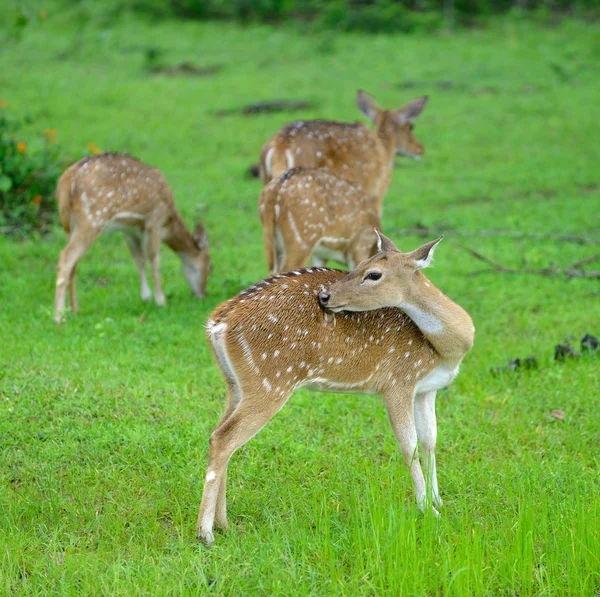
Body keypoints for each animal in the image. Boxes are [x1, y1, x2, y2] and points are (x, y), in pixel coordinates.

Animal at [54, 154, 212, 322]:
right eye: (211, 267)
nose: (203, 294)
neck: (169, 222)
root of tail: (66, 182)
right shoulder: (154, 220)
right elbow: (154, 260)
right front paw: (161, 300)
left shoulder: (129, 230)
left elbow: (139, 259)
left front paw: (146, 297)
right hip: (93, 218)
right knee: (66, 257)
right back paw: (58, 316)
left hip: (69, 224)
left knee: (74, 263)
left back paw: (74, 310)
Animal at [199, 232, 476, 544]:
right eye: (360, 265)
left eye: (372, 272)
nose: (324, 296)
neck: (445, 350)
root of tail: (217, 324)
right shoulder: (397, 381)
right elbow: (410, 445)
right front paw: (428, 510)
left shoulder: (427, 389)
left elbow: (430, 441)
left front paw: (438, 499)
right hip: (270, 382)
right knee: (223, 438)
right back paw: (206, 532)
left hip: (235, 384)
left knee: (219, 434)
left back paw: (223, 524)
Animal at [258, 91, 426, 205]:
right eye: (411, 126)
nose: (420, 148)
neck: (385, 150)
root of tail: (280, 145)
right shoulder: (375, 193)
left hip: (266, 179)